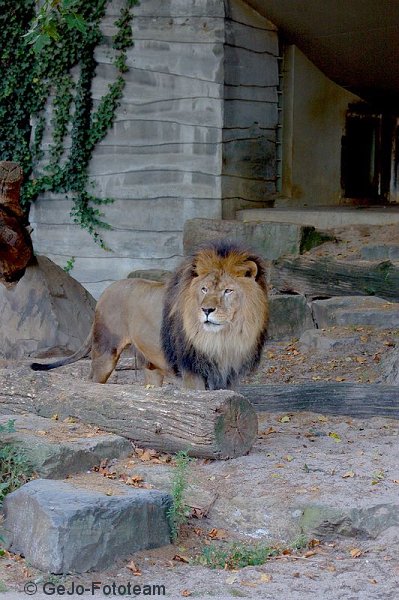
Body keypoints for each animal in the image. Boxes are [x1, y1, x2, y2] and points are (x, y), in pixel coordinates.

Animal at [30, 239, 268, 390]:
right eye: (204, 289)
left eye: (228, 290)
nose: (207, 310)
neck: (224, 338)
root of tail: (106, 290)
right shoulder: (192, 373)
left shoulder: (228, 374)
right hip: (105, 352)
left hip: (150, 364)